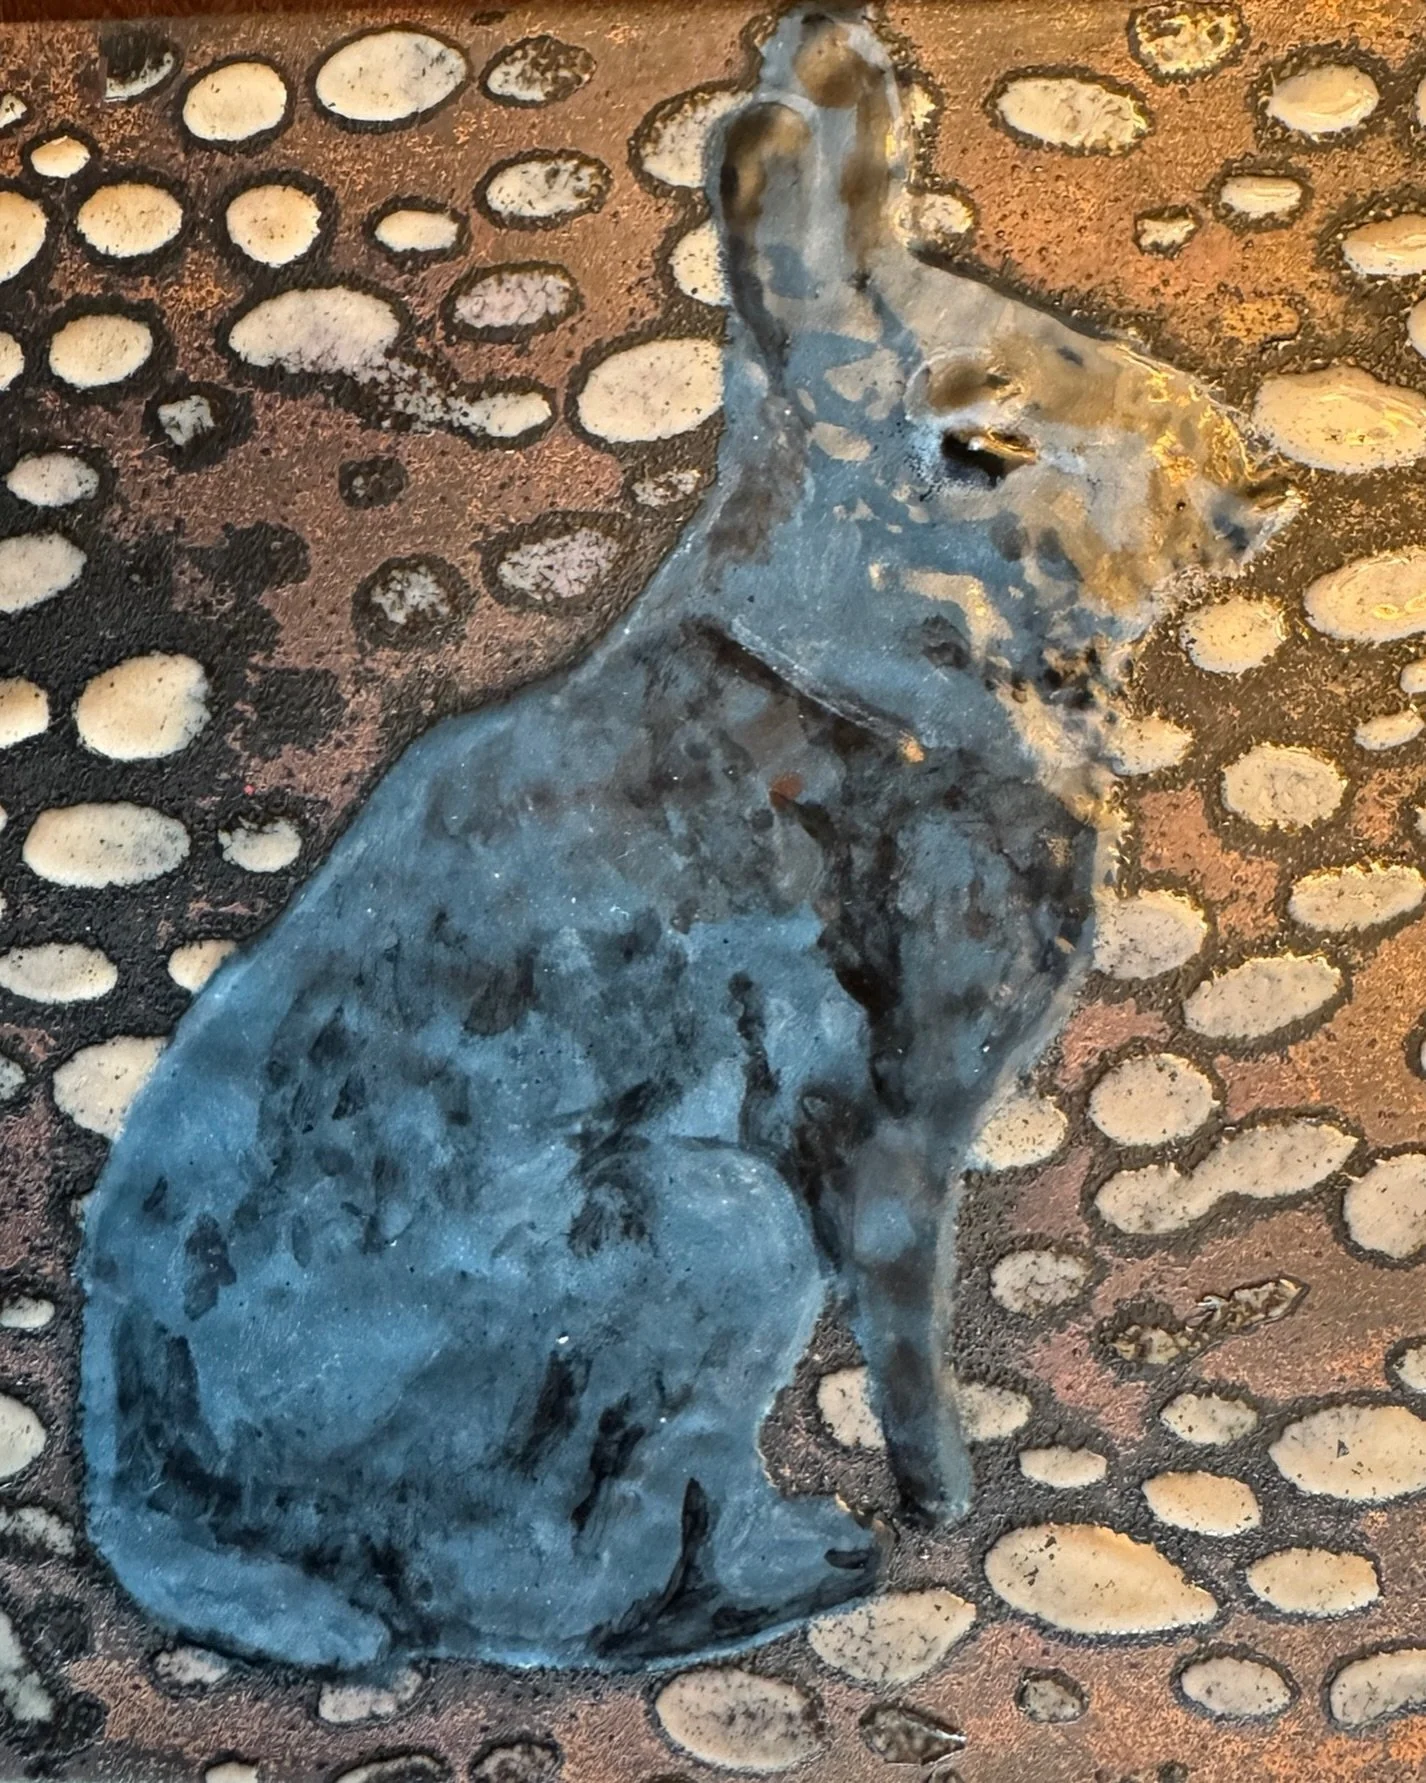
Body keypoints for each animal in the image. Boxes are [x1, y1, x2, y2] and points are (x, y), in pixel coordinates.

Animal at [78, 4, 1289, 1675]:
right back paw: (797, 1575)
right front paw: (943, 1491)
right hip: (717, 1232)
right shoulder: (894, 1111)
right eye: (979, 444)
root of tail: (169, 1526)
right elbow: (901, 1302)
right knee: (525, 1585)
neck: (867, 660)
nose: (1255, 486)